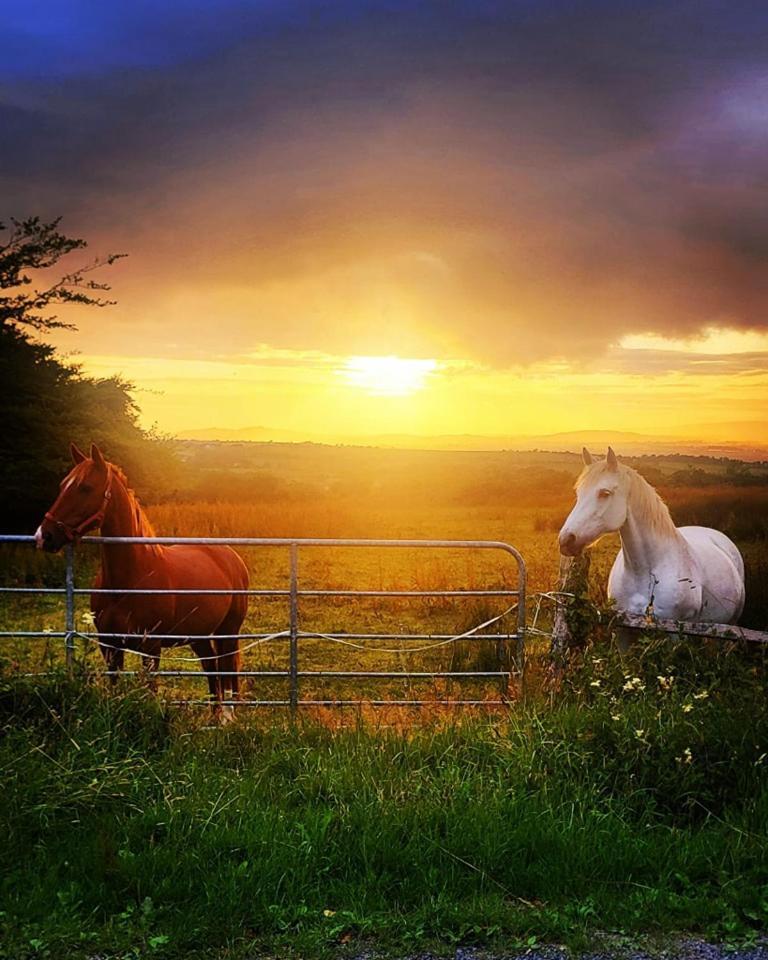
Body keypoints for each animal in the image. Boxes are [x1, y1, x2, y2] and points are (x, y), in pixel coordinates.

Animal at [36, 440, 248, 712]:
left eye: (85, 487)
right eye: (63, 485)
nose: (44, 535)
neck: (126, 582)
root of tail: (231, 556)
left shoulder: (150, 648)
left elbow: (150, 690)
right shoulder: (110, 646)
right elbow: (114, 687)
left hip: (228, 631)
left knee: (228, 670)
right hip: (198, 635)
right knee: (212, 668)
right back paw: (214, 717)